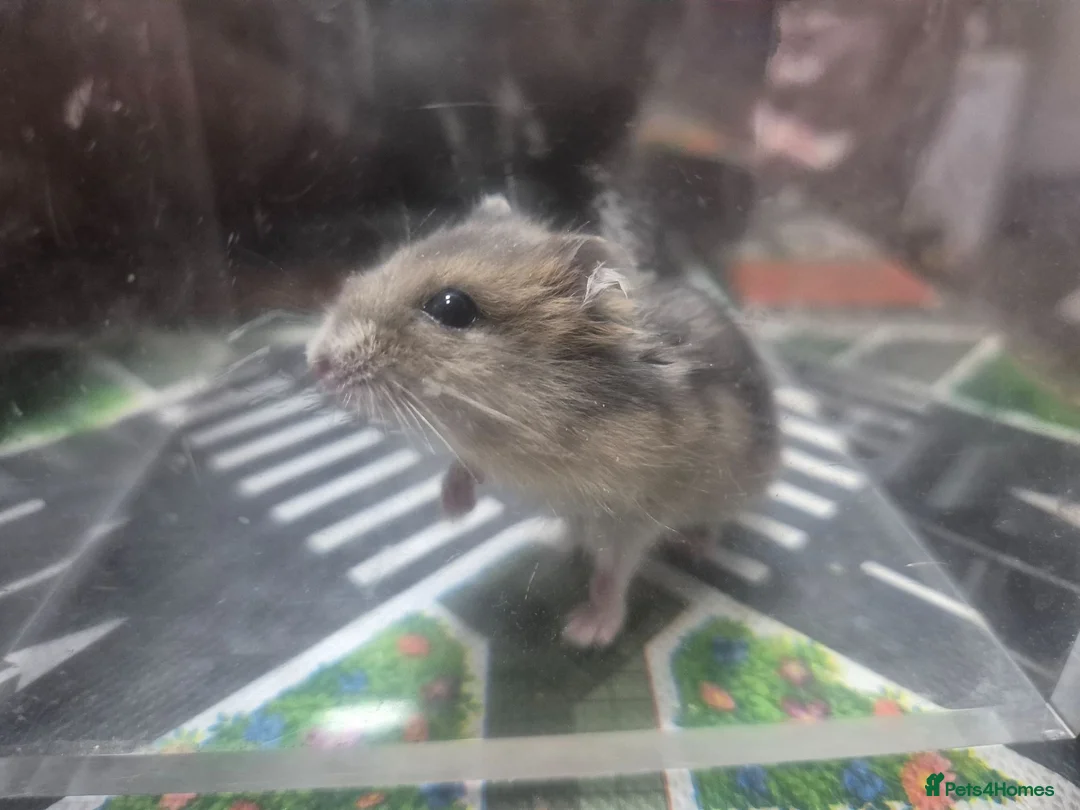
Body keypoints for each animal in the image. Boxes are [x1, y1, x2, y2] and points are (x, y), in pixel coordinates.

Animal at [307, 194, 779, 647]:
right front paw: (453, 509)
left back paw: (692, 547)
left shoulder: (635, 513)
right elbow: (464, 463)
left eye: (451, 307)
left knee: (710, 522)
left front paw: (586, 633)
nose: (316, 363)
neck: (528, 424)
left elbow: (613, 570)